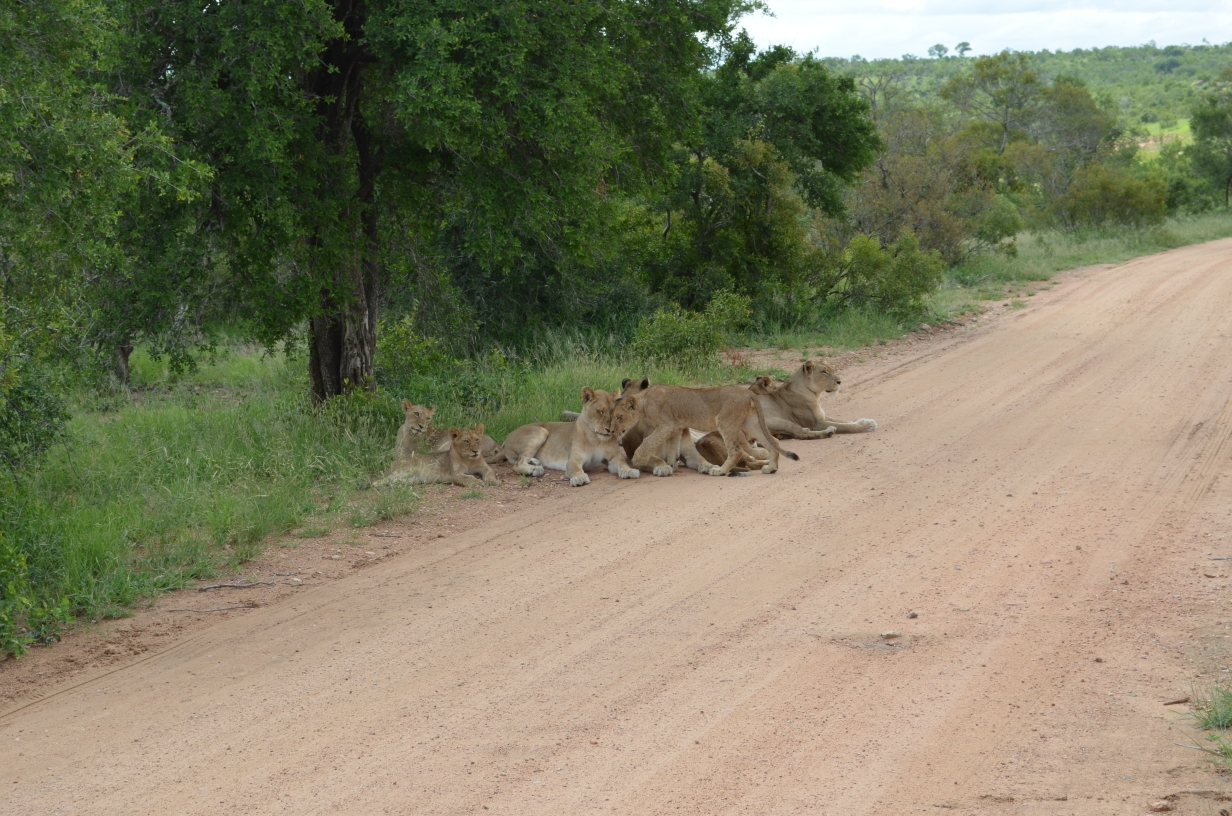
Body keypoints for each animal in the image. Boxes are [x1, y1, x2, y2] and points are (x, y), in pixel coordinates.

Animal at [500, 389, 640, 485]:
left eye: (614, 414)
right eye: (600, 411)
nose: (609, 430)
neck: (595, 438)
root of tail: (506, 438)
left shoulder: (613, 457)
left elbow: (621, 463)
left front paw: (629, 471)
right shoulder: (574, 459)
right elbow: (575, 469)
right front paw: (579, 478)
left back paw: (535, 462)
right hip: (541, 431)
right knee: (517, 464)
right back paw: (535, 469)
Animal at [749, 364, 877, 441]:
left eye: (830, 370)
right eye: (824, 372)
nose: (839, 381)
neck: (815, 395)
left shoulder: (823, 416)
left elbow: (844, 421)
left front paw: (862, 420)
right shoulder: (816, 423)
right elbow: (845, 426)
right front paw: (867, 426)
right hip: (779, 421)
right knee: (801, 433)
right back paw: (828, 431)